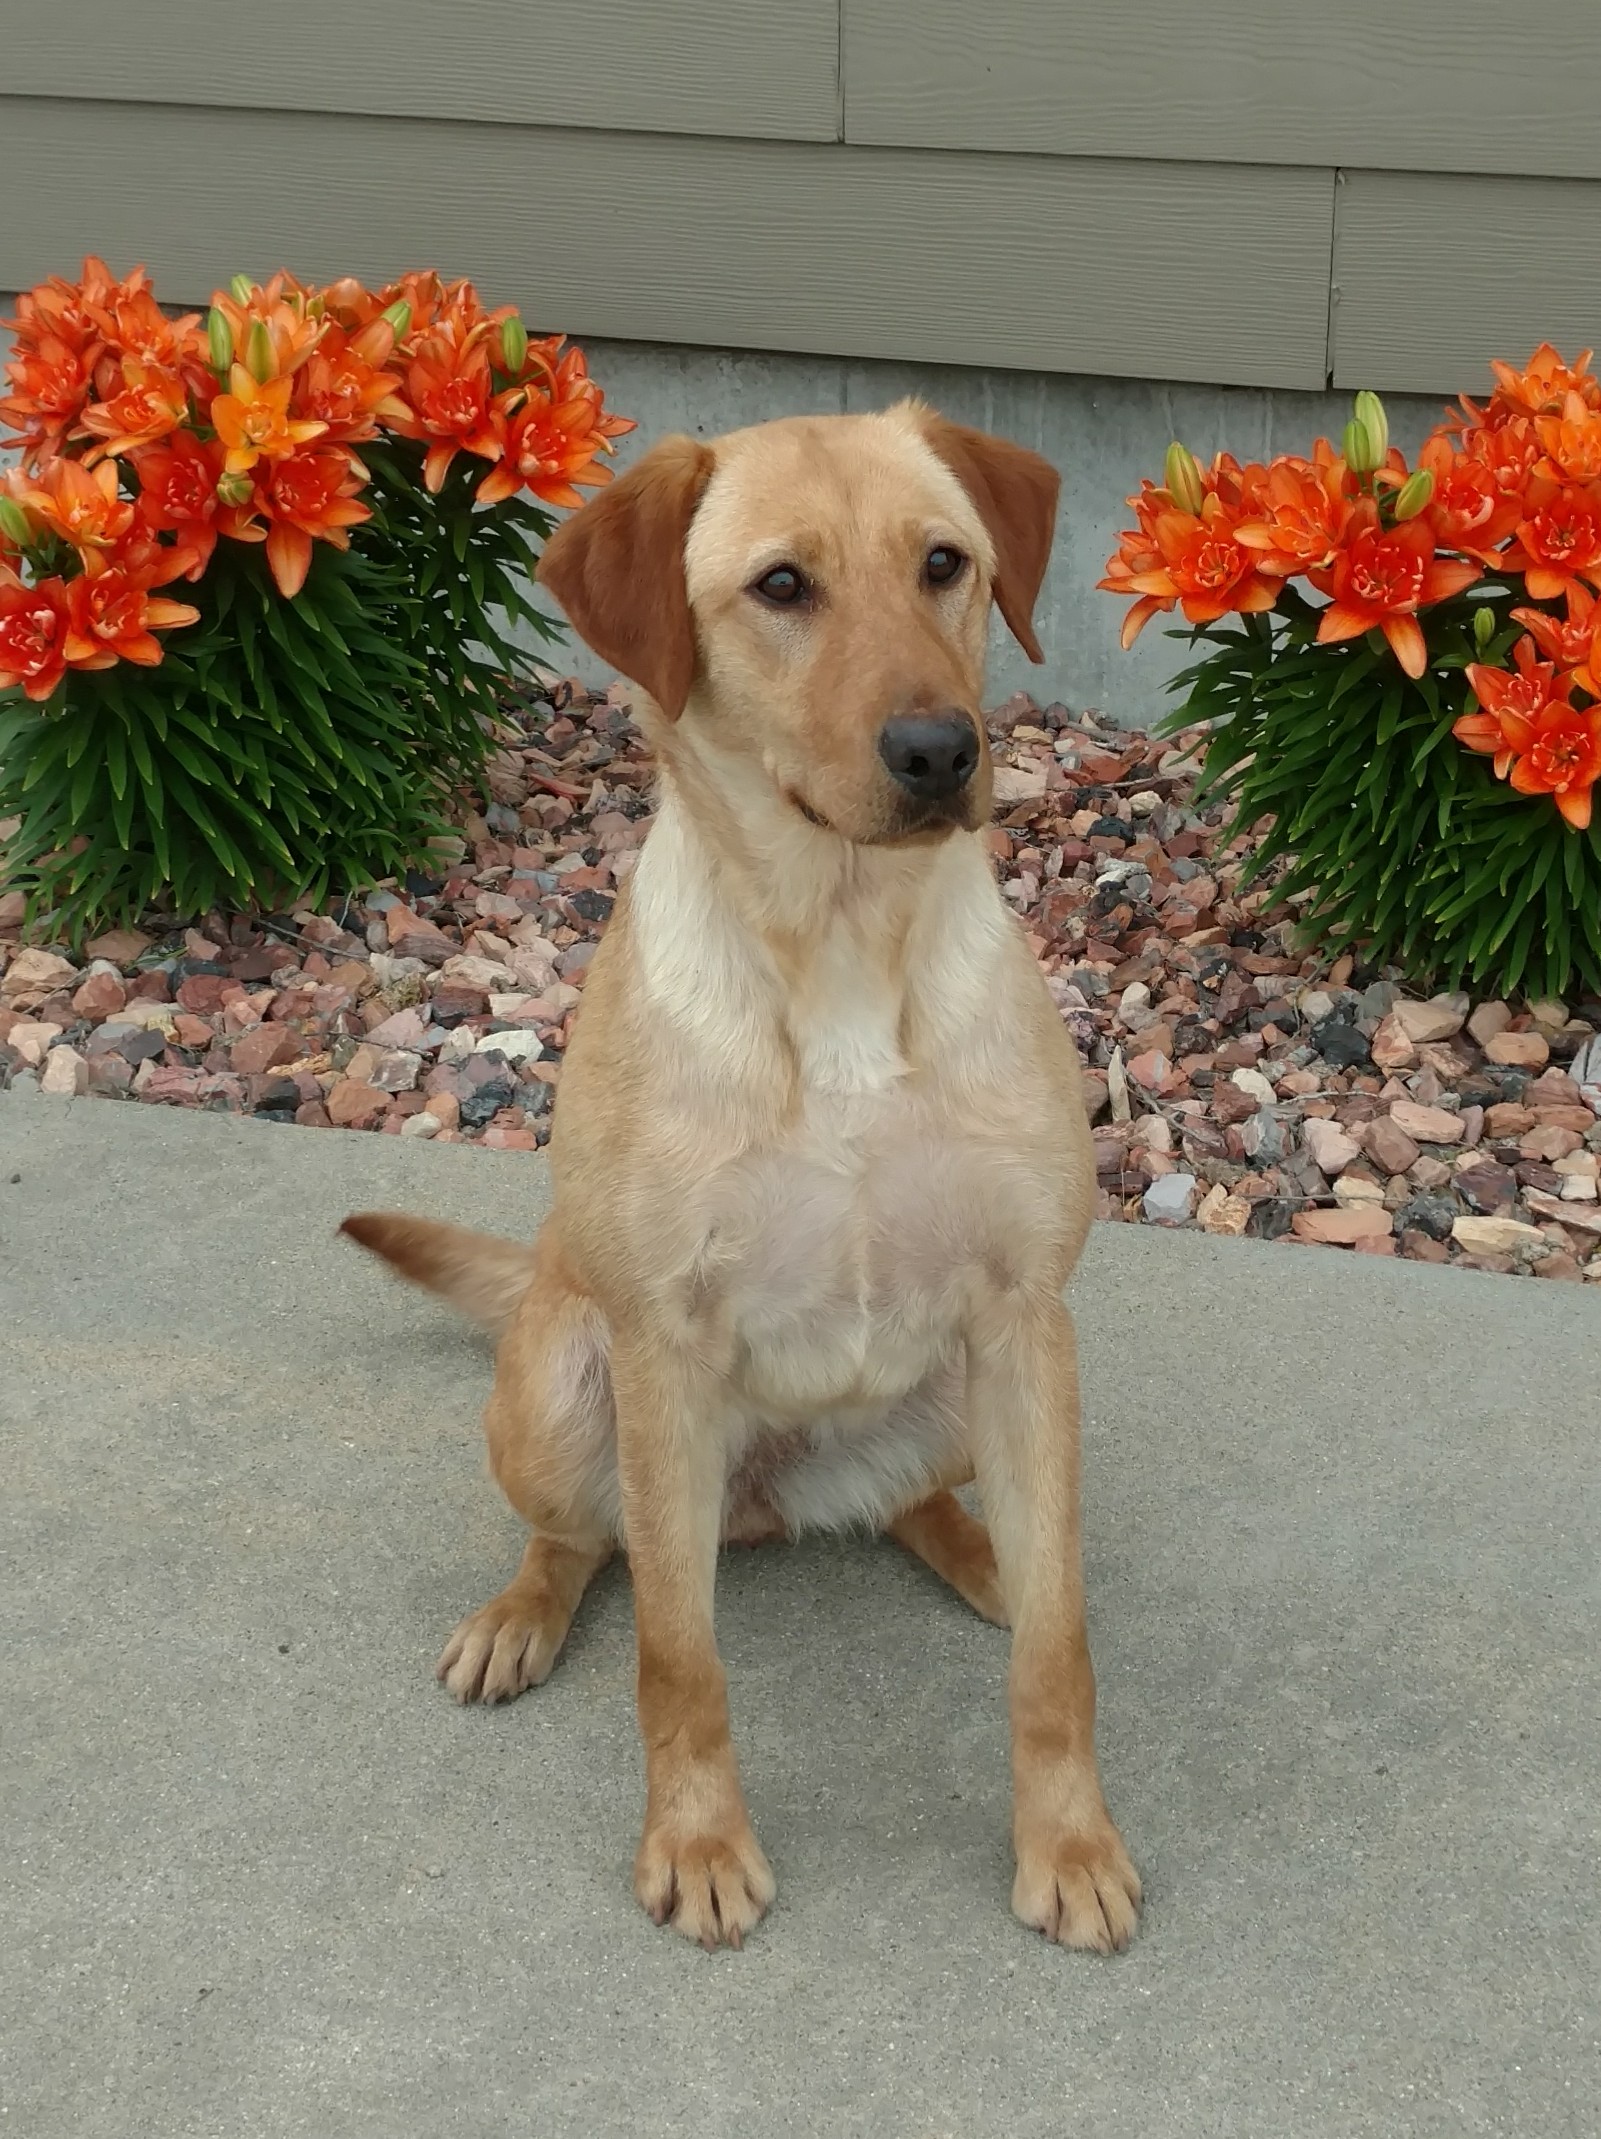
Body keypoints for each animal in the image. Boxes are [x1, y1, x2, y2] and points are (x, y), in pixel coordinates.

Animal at [340, 402, 1138, 1959]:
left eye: (944, 563)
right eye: (780, 586)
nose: (938, 748)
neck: (841, 945)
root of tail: (766, 1496)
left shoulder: (1029, 1318)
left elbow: (1060, 1646)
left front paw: (1066, 1840)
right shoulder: (664, 1344)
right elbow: (677, 1654)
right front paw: (698, 1840)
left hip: (962, 1398)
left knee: (915, 1507)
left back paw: (981, 1550)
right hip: (559, 1393)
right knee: (585, 1540)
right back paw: (521, 1610)